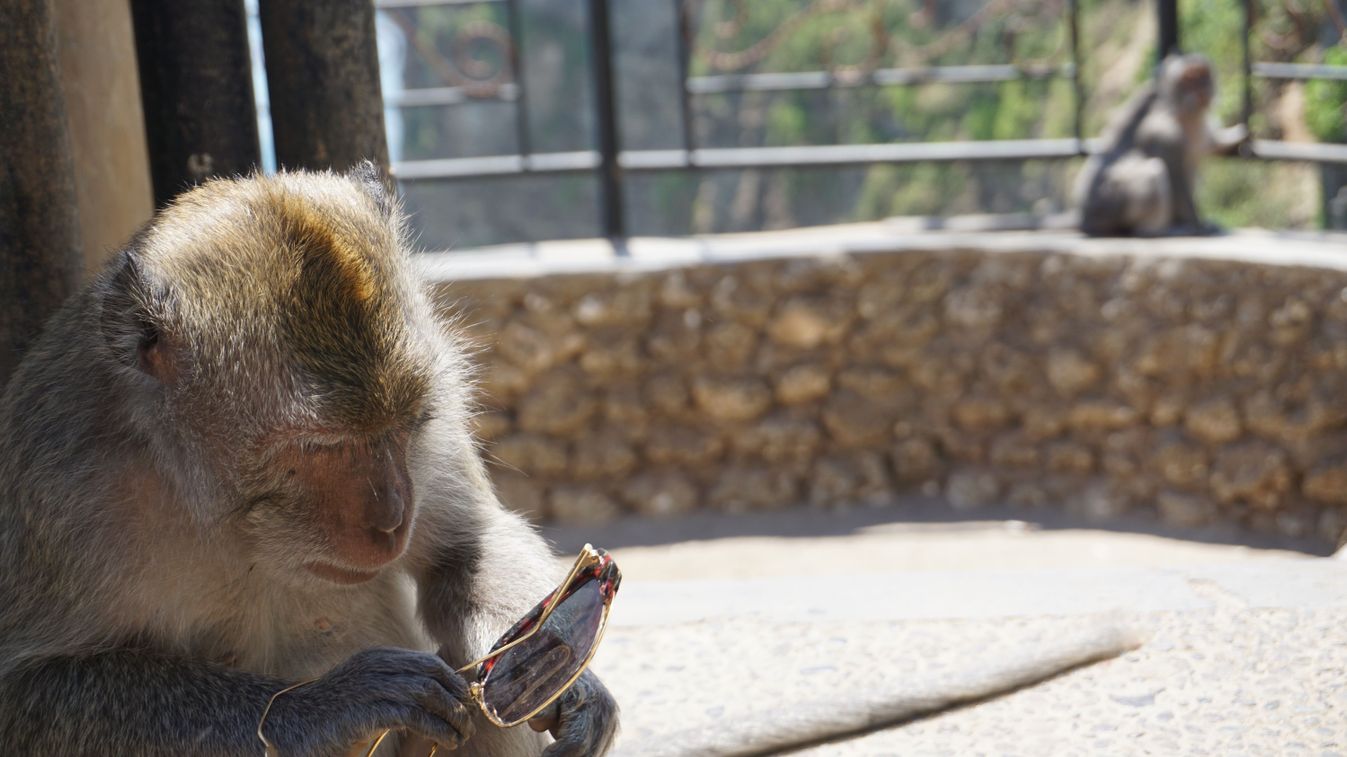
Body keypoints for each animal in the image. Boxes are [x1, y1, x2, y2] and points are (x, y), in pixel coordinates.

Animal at [0, 166, 616, 754]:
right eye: (324, 445)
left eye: (406, 425)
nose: (392, 522)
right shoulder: (63, 491)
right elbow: (25, 687)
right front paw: (327, 706)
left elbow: (466, 546)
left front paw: (551, 664)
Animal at [1072, 52, 1250, 234]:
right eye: (1188, 79)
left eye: (1201, 75)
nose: (1200, 88)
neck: (1183, 112)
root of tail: (1085, 219)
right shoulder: (1164, 135)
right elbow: (1175, 177)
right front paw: (1198, 224)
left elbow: (1211, 144)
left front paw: (1236, 136)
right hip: (1110, 203)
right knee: (1153, 172)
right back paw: (1159, 230)